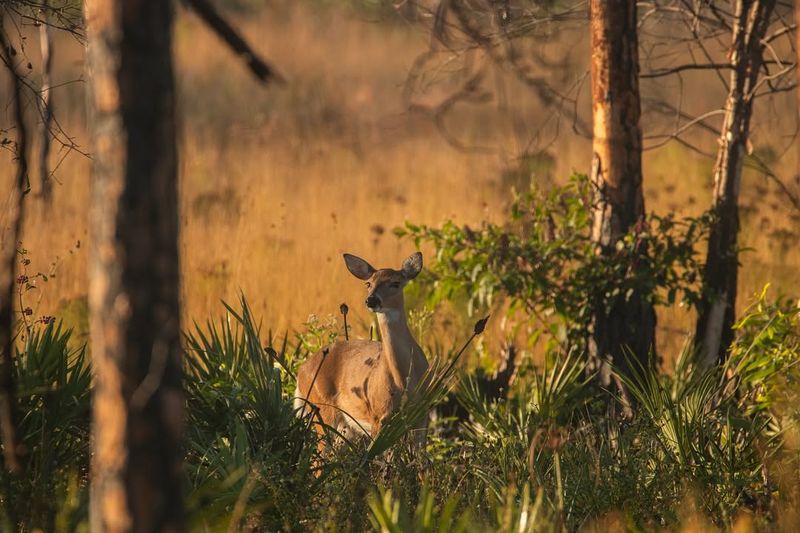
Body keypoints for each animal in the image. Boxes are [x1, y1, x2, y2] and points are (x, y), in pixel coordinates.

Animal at [294, 251, 429, 447]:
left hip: (346, 425)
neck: (404, 380)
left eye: (396, 283)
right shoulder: (379, 415)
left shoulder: (423, 414)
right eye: (368, 283)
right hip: (321, 407)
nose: (371, 300)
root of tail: (301, 369)